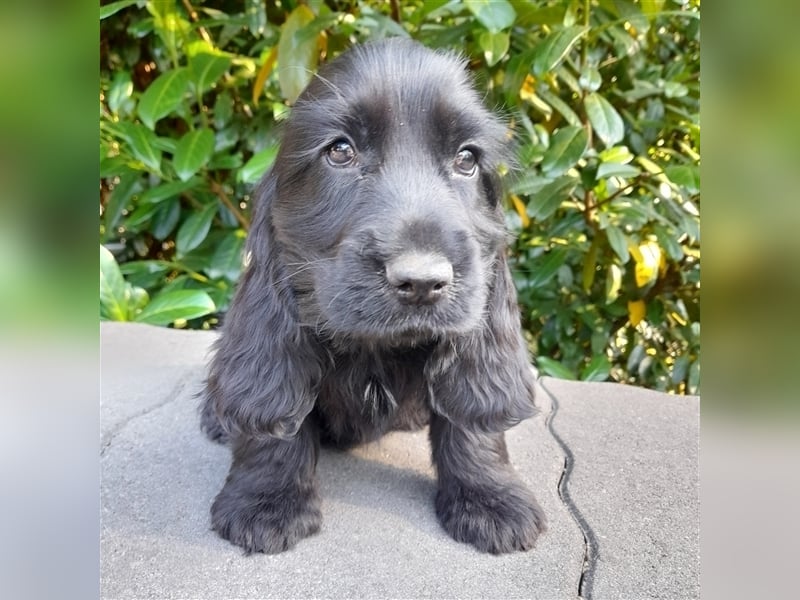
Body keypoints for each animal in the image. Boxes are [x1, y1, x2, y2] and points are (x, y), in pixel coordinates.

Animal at [203, 36, 548, 552]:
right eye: (340, 151)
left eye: (467, 159)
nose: (422, 281)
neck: (376, 347)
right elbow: (278, 408)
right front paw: (265, 502)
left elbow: (471, 421)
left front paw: (490, 499)